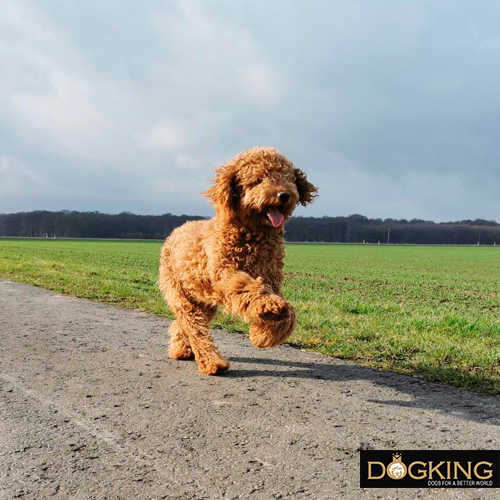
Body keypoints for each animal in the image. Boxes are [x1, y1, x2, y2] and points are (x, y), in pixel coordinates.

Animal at [158, 148, 318, 376]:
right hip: (180, 294)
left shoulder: (271, 278)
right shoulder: (226, 273)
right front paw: (270, 308)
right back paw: (212, 362)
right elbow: (251, 289)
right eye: (258, 180)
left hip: (201, 298)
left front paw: (263, 334)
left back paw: (181, 350)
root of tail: (176, 231)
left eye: (288, 178)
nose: (284, 195)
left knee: (182, 324)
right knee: (194, 326)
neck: (253, 234)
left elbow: (288, 314)